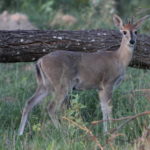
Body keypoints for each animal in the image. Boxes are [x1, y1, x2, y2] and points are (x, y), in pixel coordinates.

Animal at [18, 14, 149, 135]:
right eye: (124, 31)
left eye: (136, 31)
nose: (132, 41)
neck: (118, 59)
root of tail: (40, 61)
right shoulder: (108, 83)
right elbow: (109, 108)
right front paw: (112, 130)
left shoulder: (100, 88)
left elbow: (103, 108)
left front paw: (105, 132)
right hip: (62, 84)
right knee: (51, 107)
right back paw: (63, 132)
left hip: (45, 84)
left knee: (29, 102)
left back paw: (20, 133)